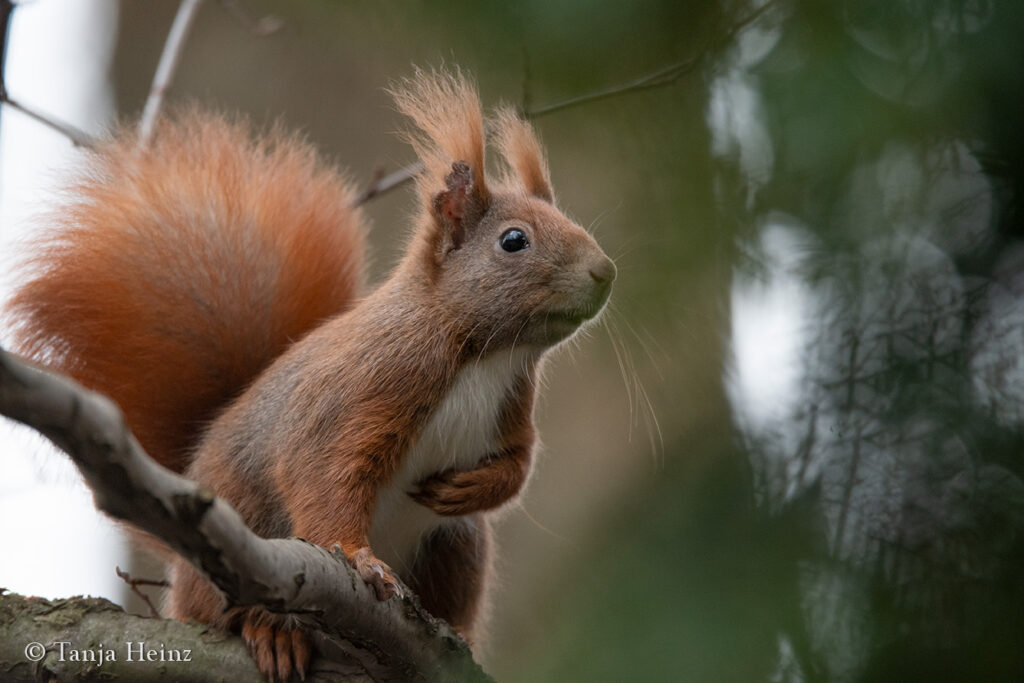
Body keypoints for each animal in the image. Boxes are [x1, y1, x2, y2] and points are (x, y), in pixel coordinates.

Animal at [5, 68, 615, 681]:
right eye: (514, 240)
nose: (606, 271)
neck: (487, 358)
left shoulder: (513, 410)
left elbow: (519, 464)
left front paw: (471, 487)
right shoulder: (365, 388)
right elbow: (323, 473)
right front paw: (358, 558)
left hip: (458, 547)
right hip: (233, 547)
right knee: (228, 612)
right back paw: (270, 630)